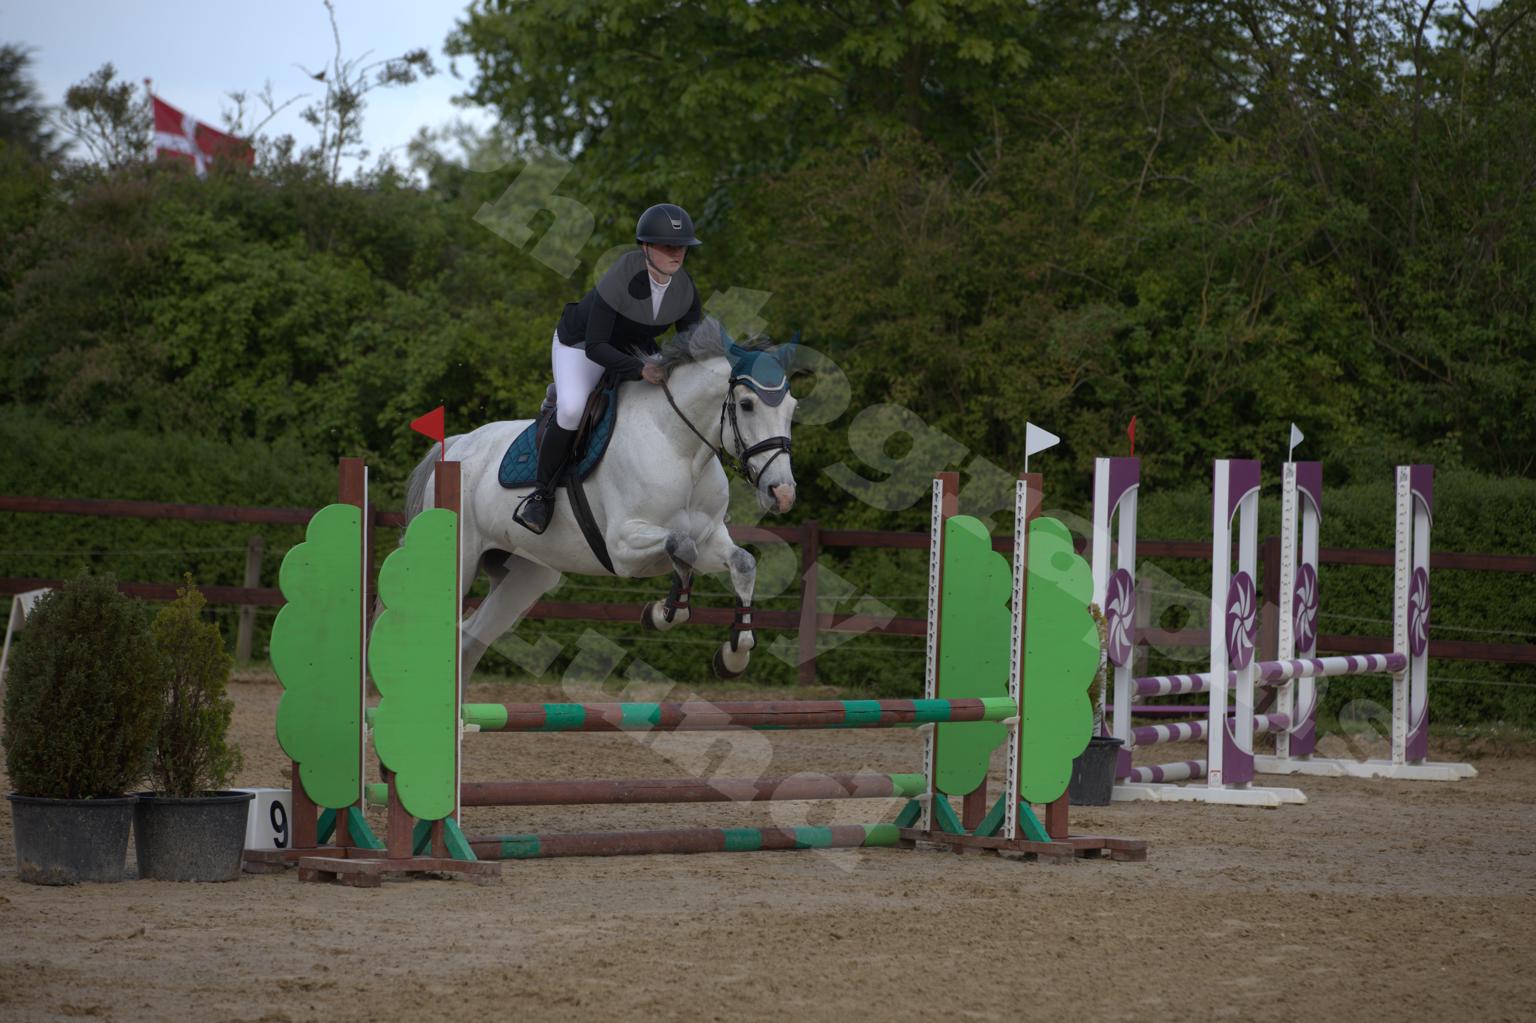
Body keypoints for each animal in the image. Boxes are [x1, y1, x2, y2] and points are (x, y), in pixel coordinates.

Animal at [402, 320, 799, 682]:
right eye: (746, 405)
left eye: (792, 408)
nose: (782, 493)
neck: (680, 449)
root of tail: (457, 445)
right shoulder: (622, 546)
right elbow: (680, 545)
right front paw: (660, 613)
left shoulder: (710, 536)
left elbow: (742, 563)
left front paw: (733, 656)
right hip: (459, 561)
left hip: (525, 575)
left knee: (470, 638)